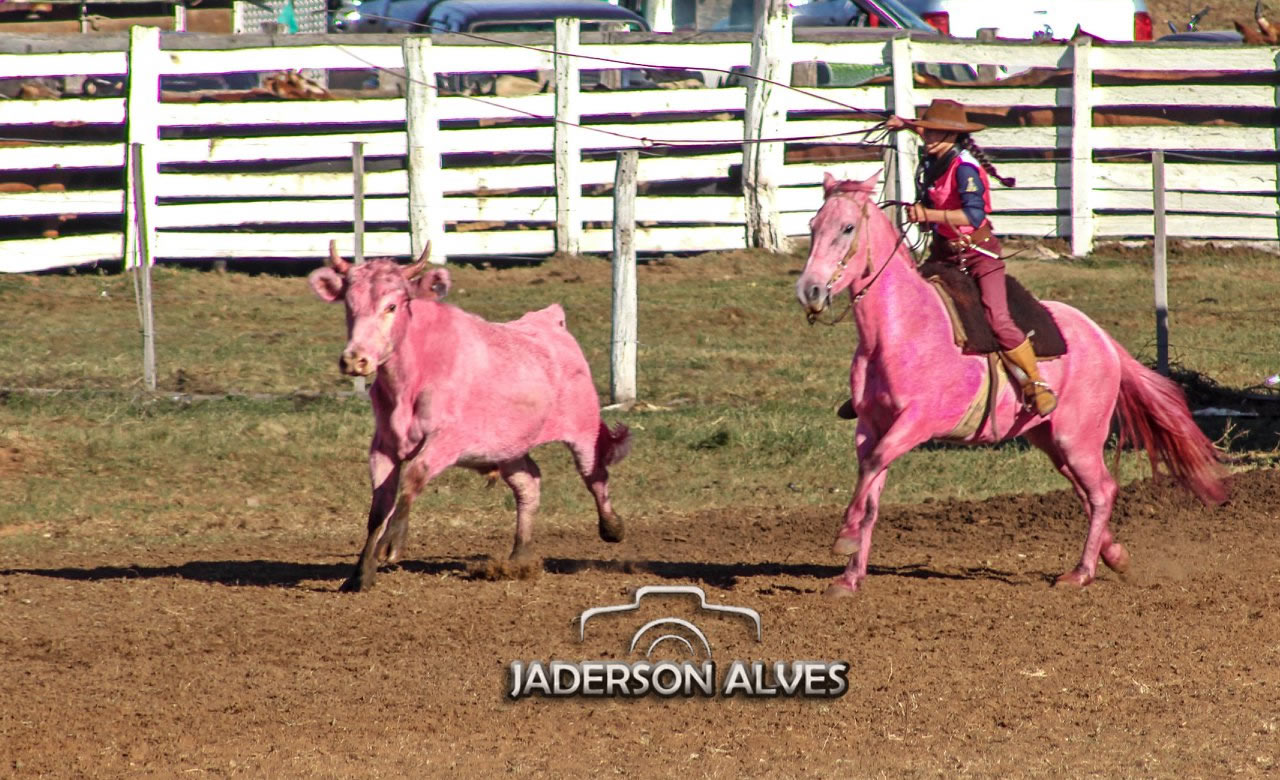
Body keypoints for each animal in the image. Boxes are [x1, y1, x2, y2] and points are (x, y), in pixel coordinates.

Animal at [793, 171, 1223, 596]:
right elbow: (871, 489)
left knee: (1101, 491)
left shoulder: (917, 422)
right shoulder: (870, 425)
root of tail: (1102, 338)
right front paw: (850, 575)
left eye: (848, 228)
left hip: (1077, 438)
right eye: (813, 226)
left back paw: (1082, 572)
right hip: (1048, 439)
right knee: (1085, 491)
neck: (900, 328)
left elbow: (874, 465)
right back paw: (1114, 555)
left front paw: (845, 538)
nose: (809, 290)